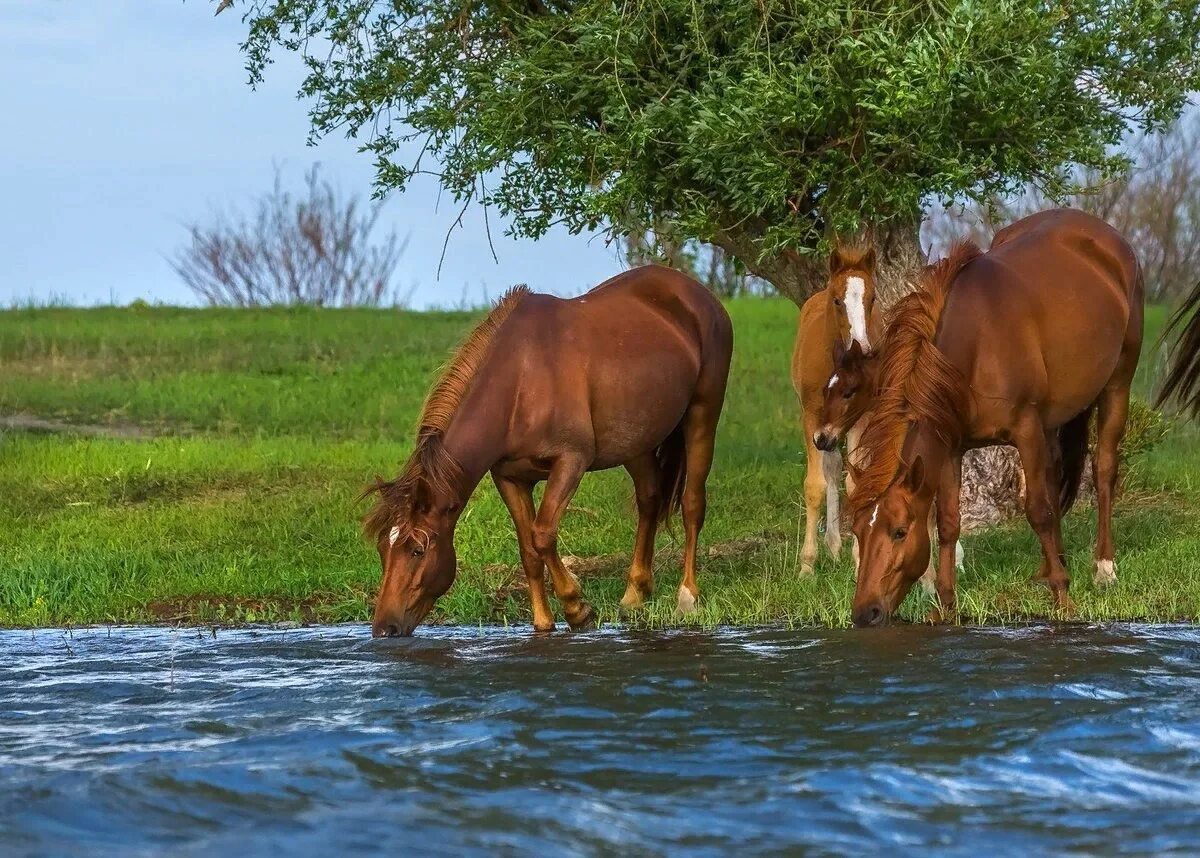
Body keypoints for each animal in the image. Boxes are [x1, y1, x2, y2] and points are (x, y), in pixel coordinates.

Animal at [360, 266, 729, 638]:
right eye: (382, 548)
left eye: (417, 550)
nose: (384, 628)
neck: (521, 382)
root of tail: (697, 293)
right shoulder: (509, 478)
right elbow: (528, 549)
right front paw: (543, 622)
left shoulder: (570, 462)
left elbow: (542, 534)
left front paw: (578, 609)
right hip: (637, 440)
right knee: (649, 500)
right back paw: (634, 595)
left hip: (702, 415)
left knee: (692, 504)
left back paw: (687, 597)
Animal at [844, 207, 1142, 624]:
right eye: (858, 532)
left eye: (900, 531)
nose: (864, 613)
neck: (975, 347)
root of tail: (1109, 238)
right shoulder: (951, 446)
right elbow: (949, 522)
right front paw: (945, 604)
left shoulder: (1026, 429)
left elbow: (1038, 511)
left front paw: (1063, 597)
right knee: (1054, 476)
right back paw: (1055, 563)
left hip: (1117, 385)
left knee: (1103, 471)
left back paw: (1102, 568)